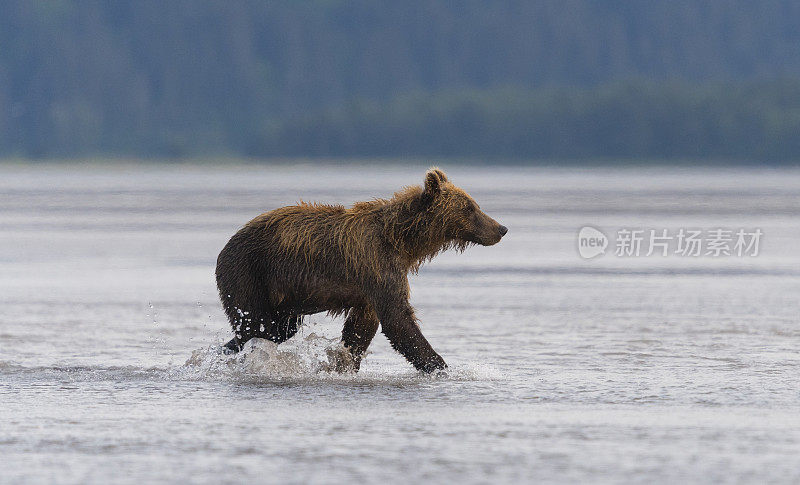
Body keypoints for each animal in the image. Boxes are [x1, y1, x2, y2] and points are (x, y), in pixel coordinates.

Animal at [214, 168, 506, 372]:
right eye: (470, 207)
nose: (501, 228)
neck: (401, 240)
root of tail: (228, 243)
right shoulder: (378, 266)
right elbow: (398, 320)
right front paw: (440, 366)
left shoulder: (372, 284)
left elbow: (361, 329)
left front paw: (344, 363)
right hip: (249, 270)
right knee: (258, 324)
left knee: (277, 329)